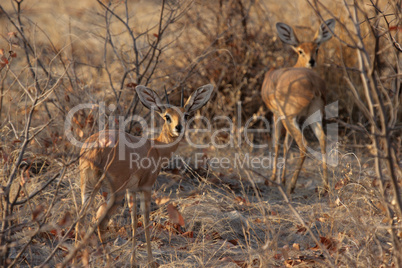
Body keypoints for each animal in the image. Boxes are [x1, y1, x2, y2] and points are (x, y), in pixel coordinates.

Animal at [78, 84, 214, 266]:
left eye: (186, 114)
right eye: (167, 116)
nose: (178, 128)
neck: (156, 147)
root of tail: (97, 146)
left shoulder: (132, 190)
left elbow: (134, 221)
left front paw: (133, 261)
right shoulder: (146, 187)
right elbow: (146, 220)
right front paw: (150, 262)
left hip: (88, 187)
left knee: (80, 219)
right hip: (115, 192)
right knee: (100, 222)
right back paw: (110, 262)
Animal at [262, 19, 334, 195]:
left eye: (316, 49)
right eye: (301, 51)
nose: (312, 62)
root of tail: (314, 83)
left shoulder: (277, 115)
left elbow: (277, 143)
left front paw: (275, 178)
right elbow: (287, 145)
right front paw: (281, 178)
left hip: (289, 118)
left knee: (303, 145)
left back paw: (292, 186)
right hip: (313, 117)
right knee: (322, 140)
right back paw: (325, 187)